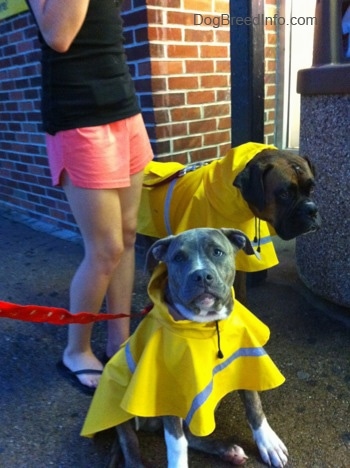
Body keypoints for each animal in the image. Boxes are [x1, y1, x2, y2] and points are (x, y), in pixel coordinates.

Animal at [111, 228, 288, 468]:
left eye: (217, 252)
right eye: (178, 258)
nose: (202, 275)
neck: (206, 323)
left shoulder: (244, 358)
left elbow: (254, 405)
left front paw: (269, 443)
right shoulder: (168, 389)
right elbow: (176, 443)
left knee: (188, 434)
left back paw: (228, 451)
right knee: (130, 441)